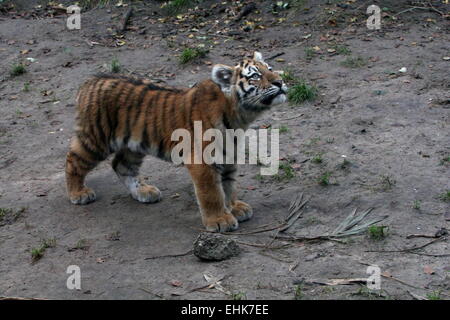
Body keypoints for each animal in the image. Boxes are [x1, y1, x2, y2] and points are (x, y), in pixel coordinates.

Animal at [65, 52, 286, 232]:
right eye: (255, 76)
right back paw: (79, 193)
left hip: (134, 144)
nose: (280, 82)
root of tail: (90, 81)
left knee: (121, 165)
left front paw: (234, 207)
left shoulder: (228, 154)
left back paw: (144, 192)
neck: (239, 116)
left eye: (270, 69)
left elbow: (229, 186)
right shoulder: (202, 161)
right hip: (95, 139)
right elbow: (212, 193)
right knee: (73, 160)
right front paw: (220, 220)